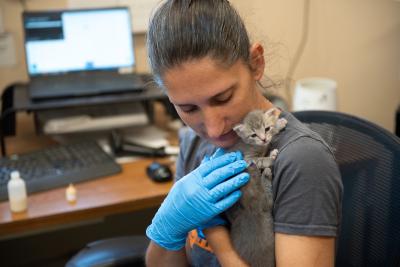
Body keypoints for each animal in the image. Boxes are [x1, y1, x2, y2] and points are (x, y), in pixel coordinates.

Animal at [225, 108, 288, 266]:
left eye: (266, 128)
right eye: (253, 135)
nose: (264, 139)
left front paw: (278, 123)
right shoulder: (247, 158)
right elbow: (260, 160)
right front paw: (271, 158)